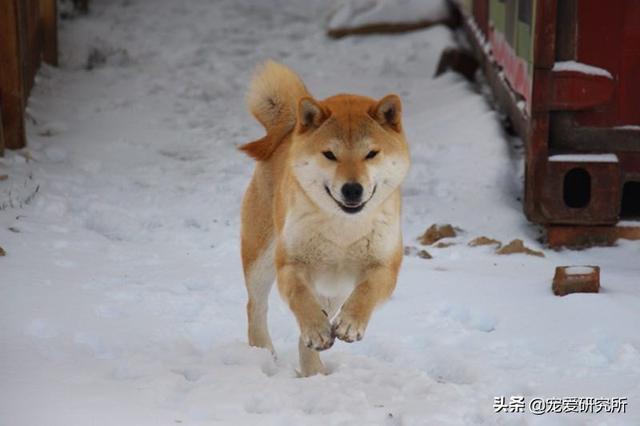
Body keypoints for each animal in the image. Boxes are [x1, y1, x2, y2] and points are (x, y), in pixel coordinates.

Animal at [240, 60, 410, 376]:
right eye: (330, 154)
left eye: (371, 154)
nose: (352, 189)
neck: (343, 229)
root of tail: (289, 130)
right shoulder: (290, 264)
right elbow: (300, 298)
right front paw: (318, 330)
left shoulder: (384, 265)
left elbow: (367, 291)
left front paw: (350, 324)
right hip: (260, 260)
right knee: (256, 308)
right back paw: (264, 353)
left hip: (333, 290)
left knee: (304, 334)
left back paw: (314, 372)